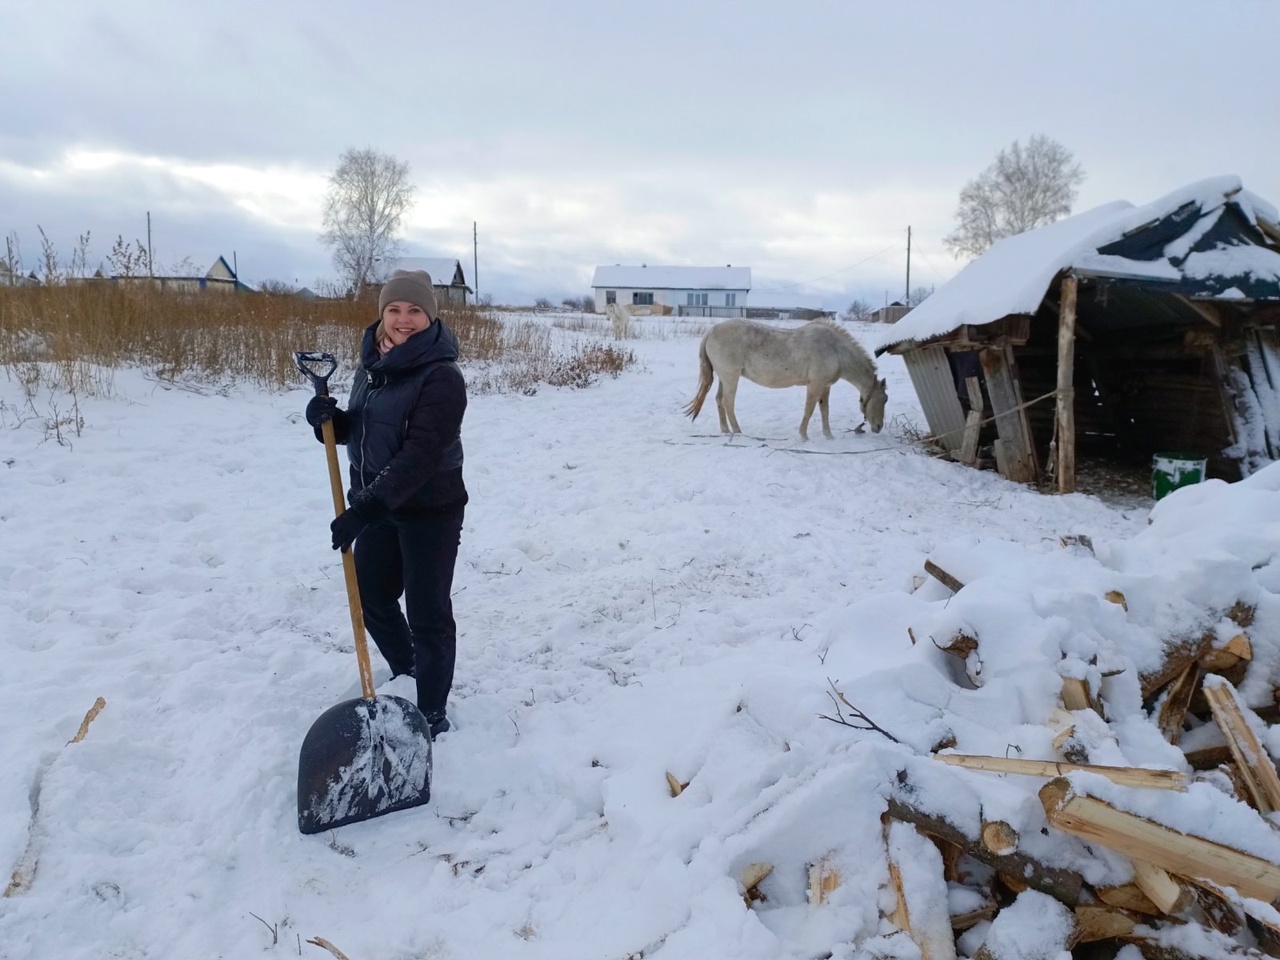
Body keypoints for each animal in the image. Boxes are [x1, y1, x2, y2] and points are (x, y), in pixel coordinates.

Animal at [686, 323, 885, 442]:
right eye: (884, 400)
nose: (878, 428)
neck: (836, 350)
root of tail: (711, 330)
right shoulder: (815, 385)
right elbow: (809, 410)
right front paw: (804, 436)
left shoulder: (825, 386)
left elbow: (824, 411)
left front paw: (828, 436)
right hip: (731, 377)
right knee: (728, 402)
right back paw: (737, 431)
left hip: (724, 378)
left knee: (719, 400)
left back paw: (726, 430)